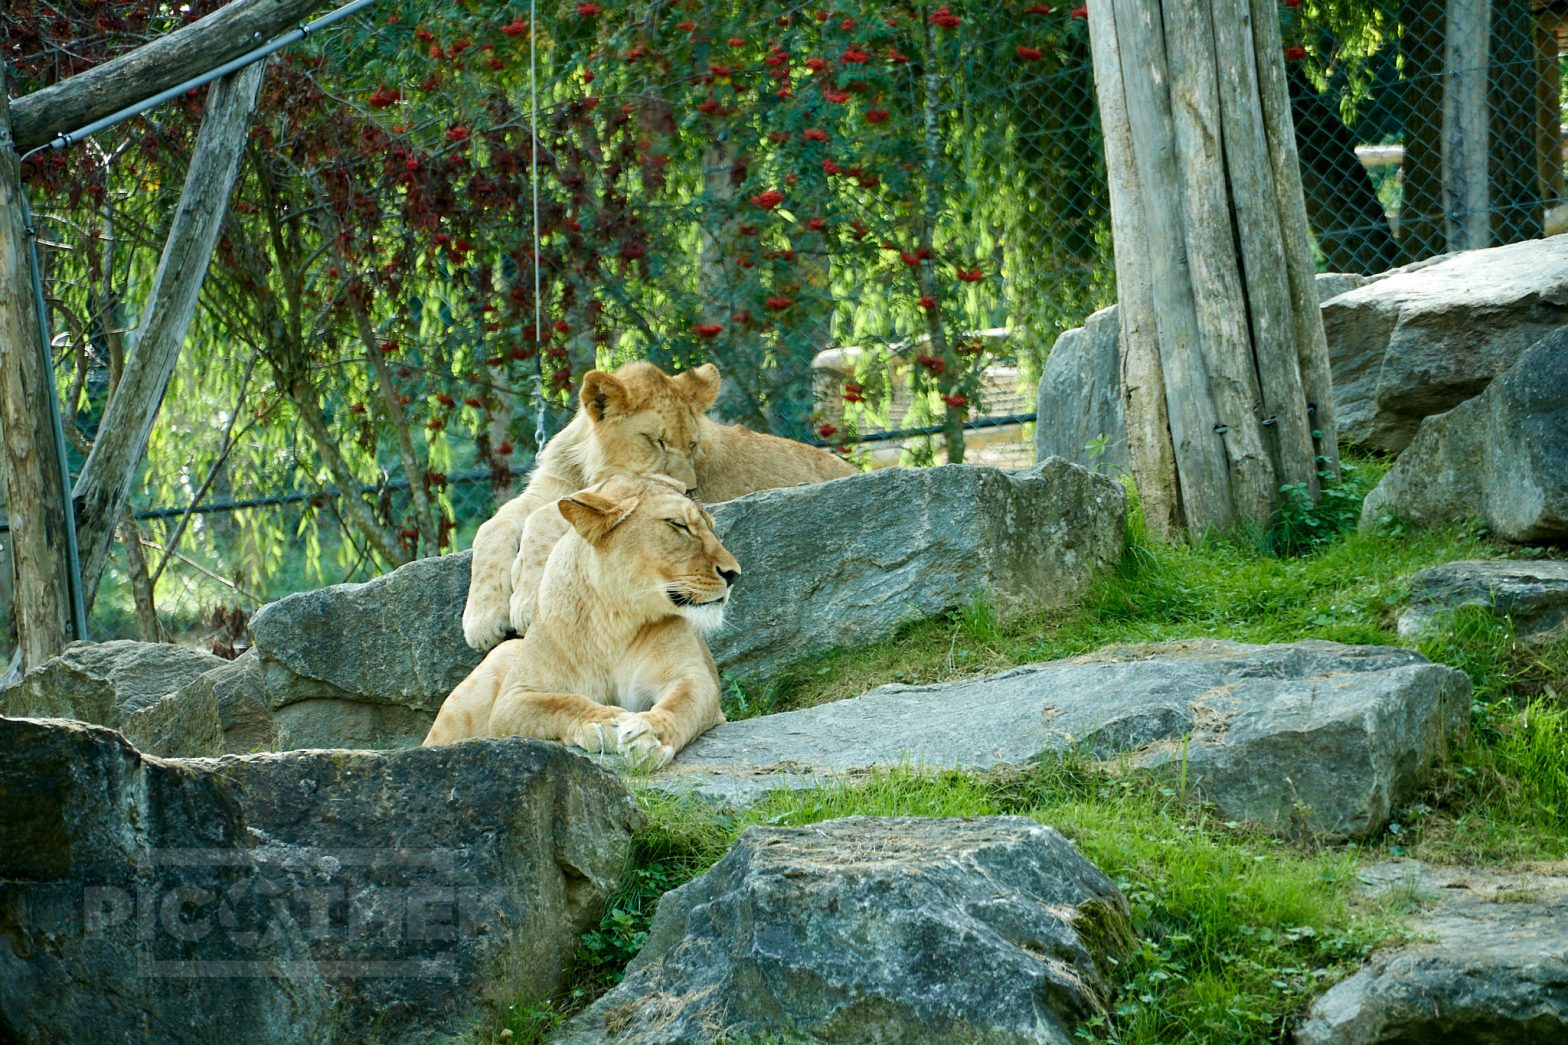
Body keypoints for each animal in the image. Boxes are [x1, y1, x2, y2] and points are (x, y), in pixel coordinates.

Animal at [426, 476, 736, 768]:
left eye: (710, 526)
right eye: (678, 525)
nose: (734, 574)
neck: (614, 620)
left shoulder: (694, 678)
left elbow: (679, 705)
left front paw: (650, 736)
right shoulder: (512, 699)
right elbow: (558, 703)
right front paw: (602, 721)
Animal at [464, 362, 859, 646]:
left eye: (693, 444)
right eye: (657, 441)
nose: (689, 489)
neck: (587, 468)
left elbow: (545, 518)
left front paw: (526, 604)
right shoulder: (549, 487)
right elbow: (490, 527)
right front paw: (481, 620)